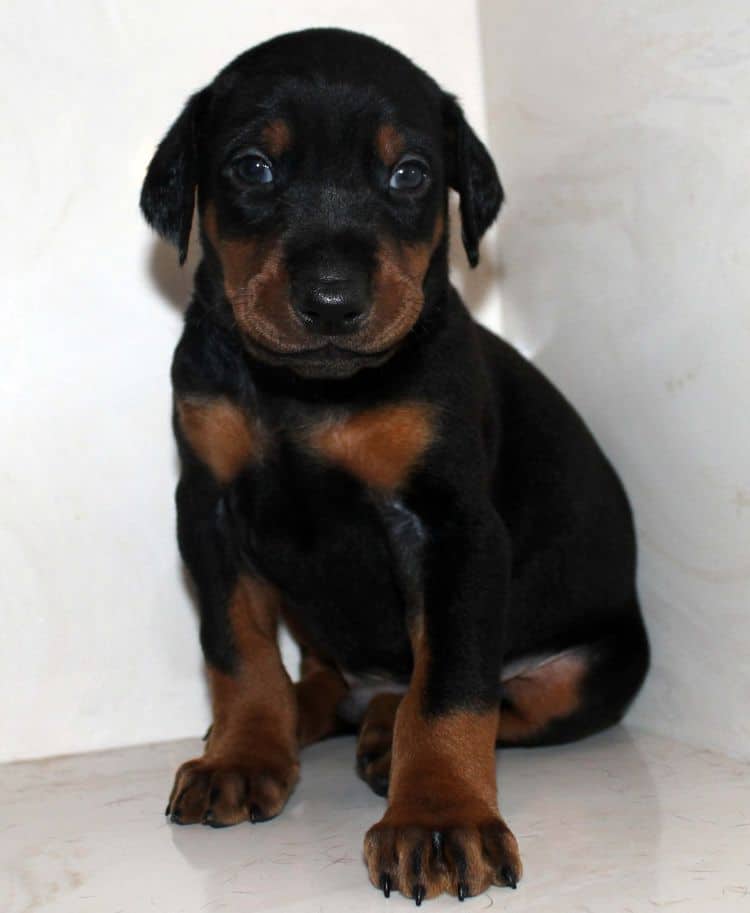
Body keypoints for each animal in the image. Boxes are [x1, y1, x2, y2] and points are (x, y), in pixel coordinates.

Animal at [141, 28, 652, 904]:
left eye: (409, 172)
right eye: (253, 167)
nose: (332, 299)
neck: (309, 391)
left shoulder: (452, 527)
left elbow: (451, 685)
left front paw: (440, 818)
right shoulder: (208, 509)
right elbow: (235, 648)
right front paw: (241, 754)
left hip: (607, 663)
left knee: (496, 697)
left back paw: (386, 734)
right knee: (322, 678)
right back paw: (307, 719)